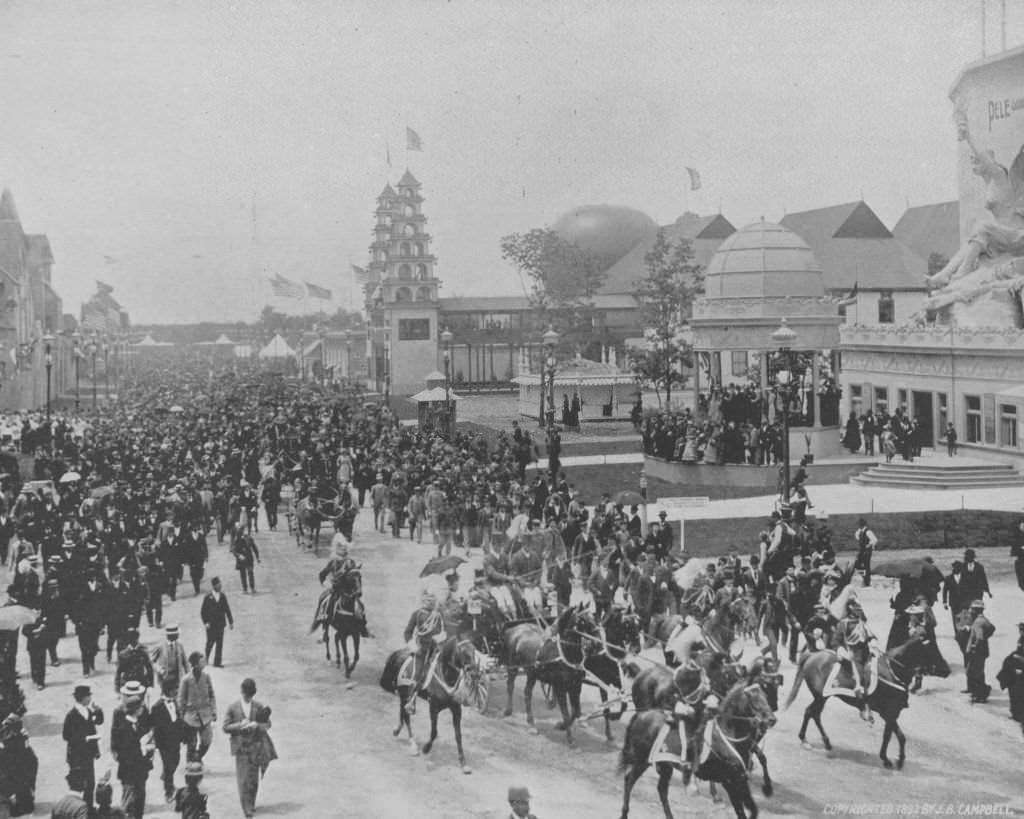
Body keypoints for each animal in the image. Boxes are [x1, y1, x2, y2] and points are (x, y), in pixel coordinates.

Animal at [380, 634, 479, 773]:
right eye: (463, 651)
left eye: (474, 651)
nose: (475, 673)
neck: (445, 675)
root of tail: (399, 653)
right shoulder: (434, 708)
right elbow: (434, 732)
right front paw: (426, 748)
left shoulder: (456, 710)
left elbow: (458, 736)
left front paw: (463, 763)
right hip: (405, 693)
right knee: (407, 716)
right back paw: (413, 745)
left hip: (404, 694)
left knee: (403, 711)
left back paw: (397, 730)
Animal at [501, 606, 598, 745]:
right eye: (582, 620)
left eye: (594, 617)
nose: (596, 643)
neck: (564, 654)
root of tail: (513, 629)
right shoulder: (560, 688)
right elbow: (566, 713)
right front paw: (570, 739)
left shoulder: (576, 687)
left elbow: (576, 711)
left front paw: (561, 726)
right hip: (512, 666)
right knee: (510, 685)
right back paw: (508, 711)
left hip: (532, 673)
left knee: (527, 692)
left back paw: (531, 724)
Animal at [614, 679, 774, 818]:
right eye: (753, 698)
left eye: (766, 697)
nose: (772, 719)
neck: (727, 734)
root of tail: (641, 714)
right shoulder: (732, 781)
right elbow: (745, 811)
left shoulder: (737, 780)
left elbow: (748, 810)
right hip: (642, 760)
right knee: (629, 780)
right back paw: (624, 813)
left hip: (664, 766)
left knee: (661, 790)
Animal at [782, 630, 942, 769]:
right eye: (932, 648)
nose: (945, 670)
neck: (893, 671)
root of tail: (812, 655)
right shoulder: (889, 713)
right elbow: (891, 736)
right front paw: (888, 759)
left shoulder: (891, 714)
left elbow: (898, 736)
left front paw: (897, 759)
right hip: (821, 697)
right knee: (811, 712)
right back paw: (806, 740)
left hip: (822, 698)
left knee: (814, 714)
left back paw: (824, 742)